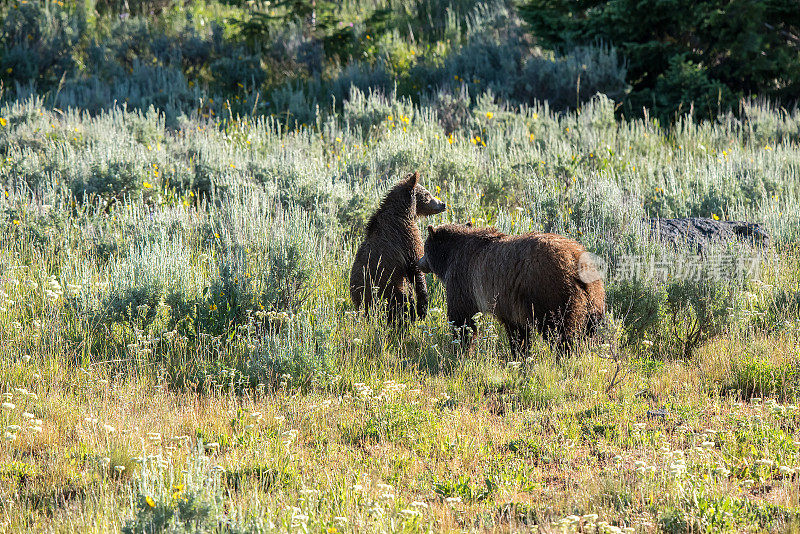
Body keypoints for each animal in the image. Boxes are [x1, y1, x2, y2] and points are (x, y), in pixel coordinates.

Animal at [350, 175, 446, 326]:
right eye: (427, 194)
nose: (443, 204)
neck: (404, 212)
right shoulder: (406, 237)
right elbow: (416, 267)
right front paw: (422, 308)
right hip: (387, 289)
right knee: (400, 303)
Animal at [418, 225, 608, 356]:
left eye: (424, 248)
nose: (420, 262)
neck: (450, 256)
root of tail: (575, 262)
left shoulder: (463, 280)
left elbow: (462, 318)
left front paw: (461, 347)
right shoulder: (511, 304)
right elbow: (518, 330)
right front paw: (520, 353)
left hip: (550, 293)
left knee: (557, 330)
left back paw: (564, 355)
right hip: (594, 297)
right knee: (592, 329)